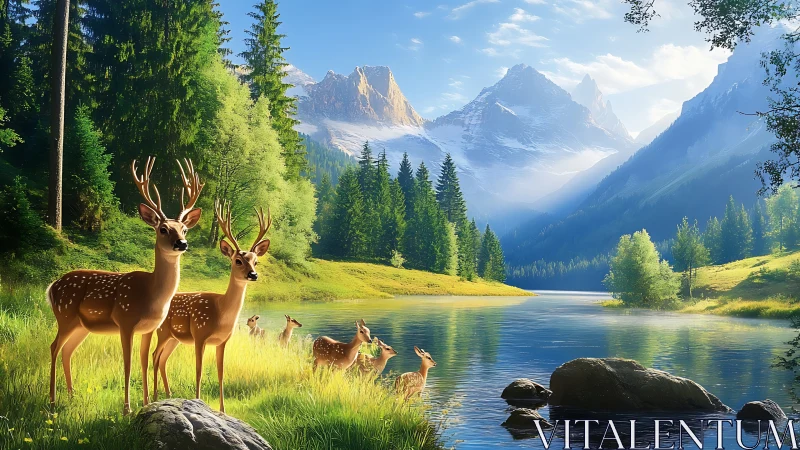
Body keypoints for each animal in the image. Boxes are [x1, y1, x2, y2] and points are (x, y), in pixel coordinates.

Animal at [47, 157, 203, 415]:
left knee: (67, 350)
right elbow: (127, 363)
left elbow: (144, 361)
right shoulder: (125, 320)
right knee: (53, 347)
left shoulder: (149, 328)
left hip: (81, 326)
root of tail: (51, 287)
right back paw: (51, 400)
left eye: (184, 229)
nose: (182, 243)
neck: (151, 295)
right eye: (163, 229)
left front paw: (147, 403)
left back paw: (71, 396)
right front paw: (127, 409)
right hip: (65, 315)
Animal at [151, 200, 271, 413]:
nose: (253, 274)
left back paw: (168, 396)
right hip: (163, 331)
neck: (220, 311)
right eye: (238, 260)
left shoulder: (223, 341)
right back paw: (155, 398)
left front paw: (223, 410)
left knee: (163, 359)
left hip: (174, 338)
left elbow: (221, 372)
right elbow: (198, 371)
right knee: (155, 356)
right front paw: (198, 402)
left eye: (255, 261)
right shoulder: (200, 335)